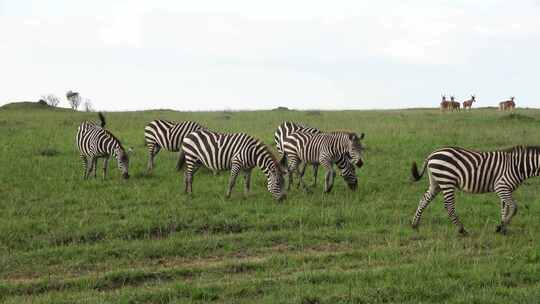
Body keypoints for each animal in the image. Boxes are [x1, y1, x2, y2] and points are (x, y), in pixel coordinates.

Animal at [412, 146, 540, 236]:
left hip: (436, 183)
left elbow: (505, 209)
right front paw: (500, 227)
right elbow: (514, 208)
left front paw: (502, 228)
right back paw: (462, 230)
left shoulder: (506, 189)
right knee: (449, 206)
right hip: (447, 180)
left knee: (424, 200)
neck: (518, 166)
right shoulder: (501, 187)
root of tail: (432, 154)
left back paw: (415, 224)